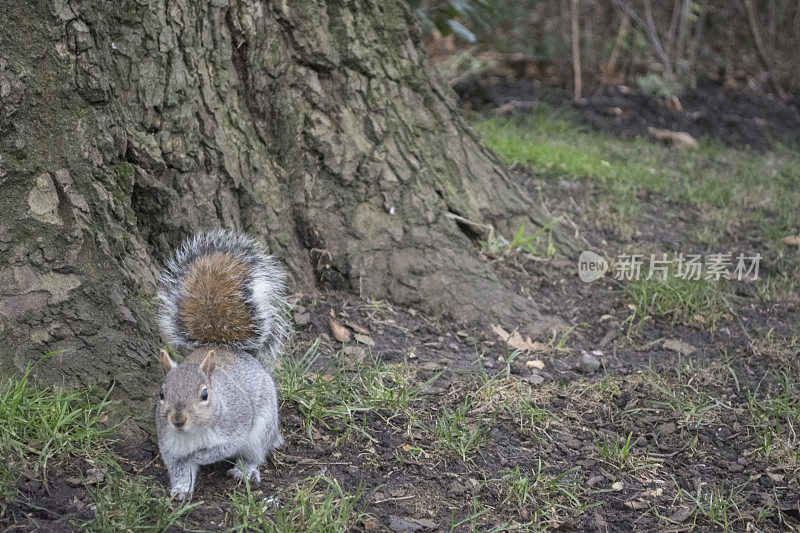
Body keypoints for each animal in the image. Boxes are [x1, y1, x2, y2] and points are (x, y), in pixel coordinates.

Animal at [153, 230, 288, 498]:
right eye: (162, 393)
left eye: (204, 394)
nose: (178, 420)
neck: (193, 433)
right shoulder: (170, 446)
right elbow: (179, 468)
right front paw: (181, 488)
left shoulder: (234, 425)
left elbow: (223, 448)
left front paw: (201, 457)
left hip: (263, 426)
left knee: (255, 453)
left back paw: (245, 470)